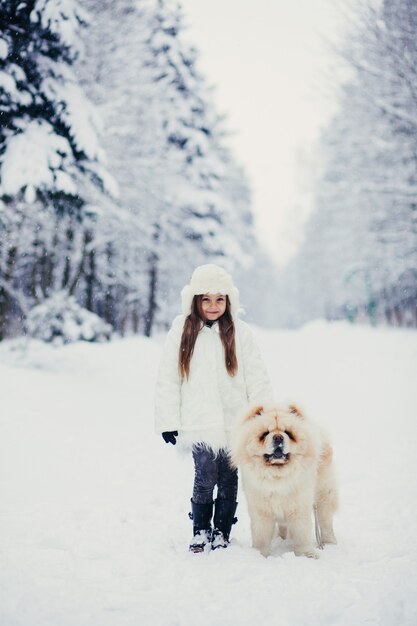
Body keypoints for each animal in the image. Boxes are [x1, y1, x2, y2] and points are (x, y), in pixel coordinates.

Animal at [229, 402, 336, 560]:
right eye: (264, 434)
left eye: (288, 433)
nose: (278, 437)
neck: (277, 477)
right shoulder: (261, 510)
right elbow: (261, 537)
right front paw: (259, 555)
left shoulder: (299, 507)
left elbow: (301, 533)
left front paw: (306, 555)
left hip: (323, 495)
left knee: (325, 522)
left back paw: (330, 543)